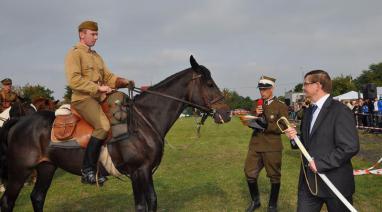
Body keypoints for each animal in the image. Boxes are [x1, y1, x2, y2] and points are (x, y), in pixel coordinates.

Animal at [0, 55, 231, 211]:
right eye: (209, 83)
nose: (226, 113)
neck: (143, 121)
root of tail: (19, 122)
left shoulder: (147, 171)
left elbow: (153, 201)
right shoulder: (138, 171)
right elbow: (141, 206)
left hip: (47, 168)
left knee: (37, 197)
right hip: (20, 171)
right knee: (8, 202)